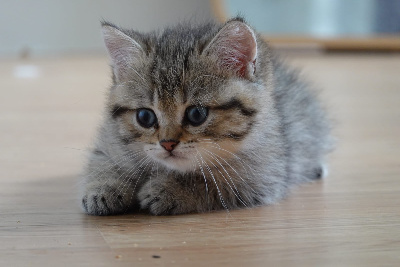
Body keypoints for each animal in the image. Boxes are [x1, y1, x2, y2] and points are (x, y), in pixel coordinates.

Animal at [80, 17, 332, 217]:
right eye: (145, 117)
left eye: (196, 114)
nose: (167, 143)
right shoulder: (110, 140)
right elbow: (102, 162)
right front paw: (103, 188)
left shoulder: (263, 175)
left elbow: (212, 182)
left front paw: (170, 189)